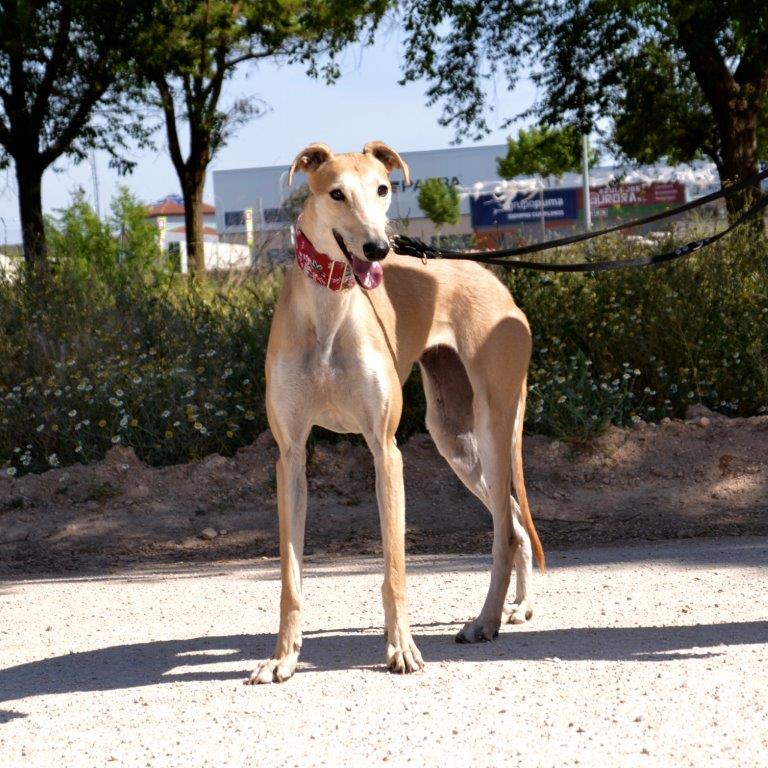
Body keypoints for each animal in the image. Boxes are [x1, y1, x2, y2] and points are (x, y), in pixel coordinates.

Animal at [249, 140, 544, 684]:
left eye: (383, 188)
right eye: (337, 193)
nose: (378, 249)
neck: (331, 309)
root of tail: (495, 282)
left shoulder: (384, 449)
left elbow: (393, 570)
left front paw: (402, 649)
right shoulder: (291, 455)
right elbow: (290, 578)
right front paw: (282, 658)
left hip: (493, 426)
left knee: (505, 531)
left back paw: (485, 620)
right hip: (454, 438)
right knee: (512, 520)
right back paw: (514, 609)